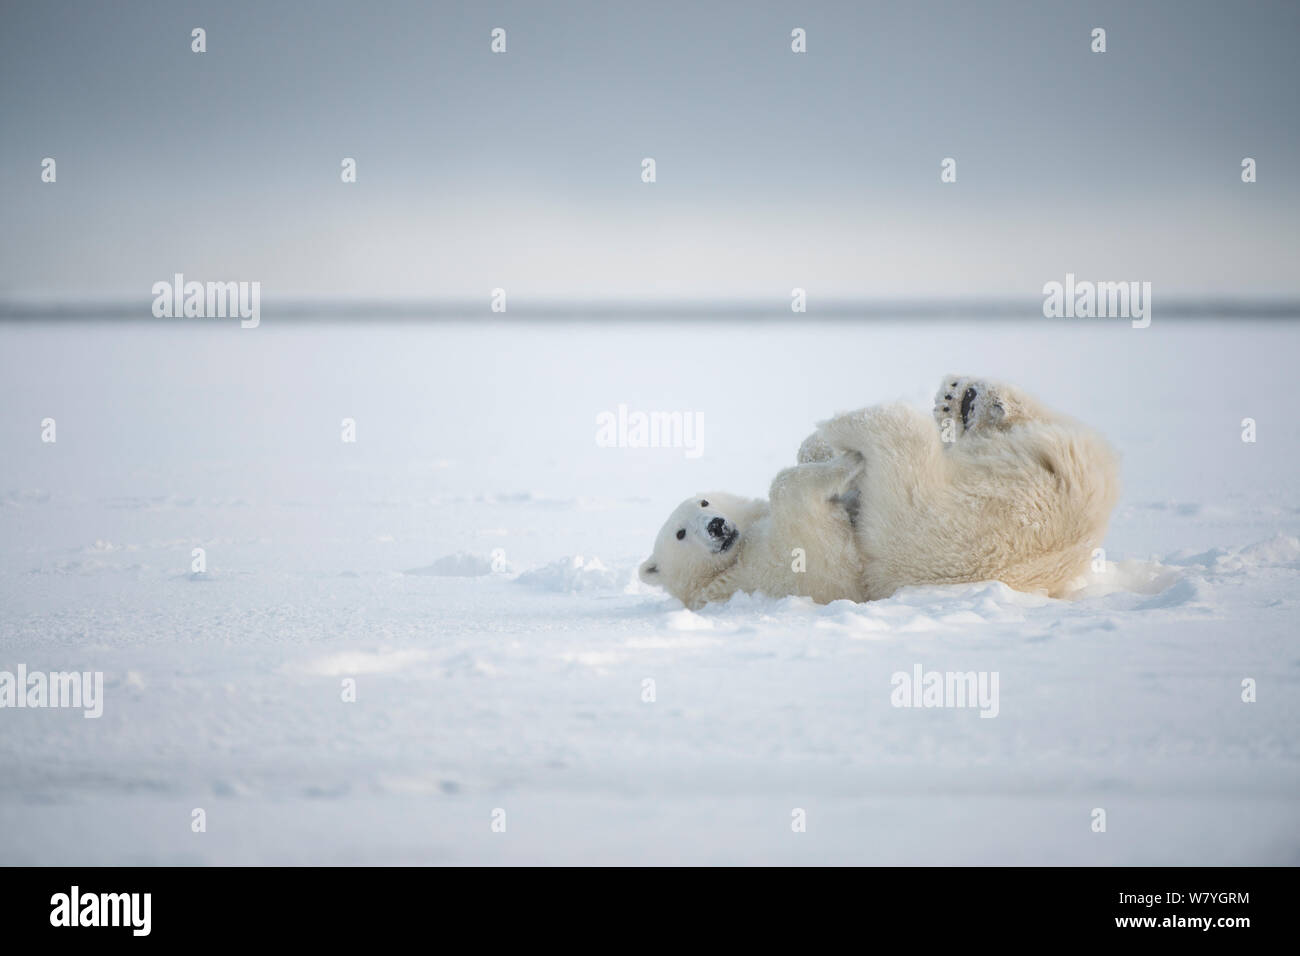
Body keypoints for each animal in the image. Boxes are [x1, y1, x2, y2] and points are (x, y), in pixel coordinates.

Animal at [639, 374, 1118, 608]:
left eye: (704, 501)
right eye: (680, 533)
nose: (717, 526)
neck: (721, 574)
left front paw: (821, 455)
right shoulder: (797, 563)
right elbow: (794, 498)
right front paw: (845, 463)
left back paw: (966, 397)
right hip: (936, 516)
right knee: (897, 432)